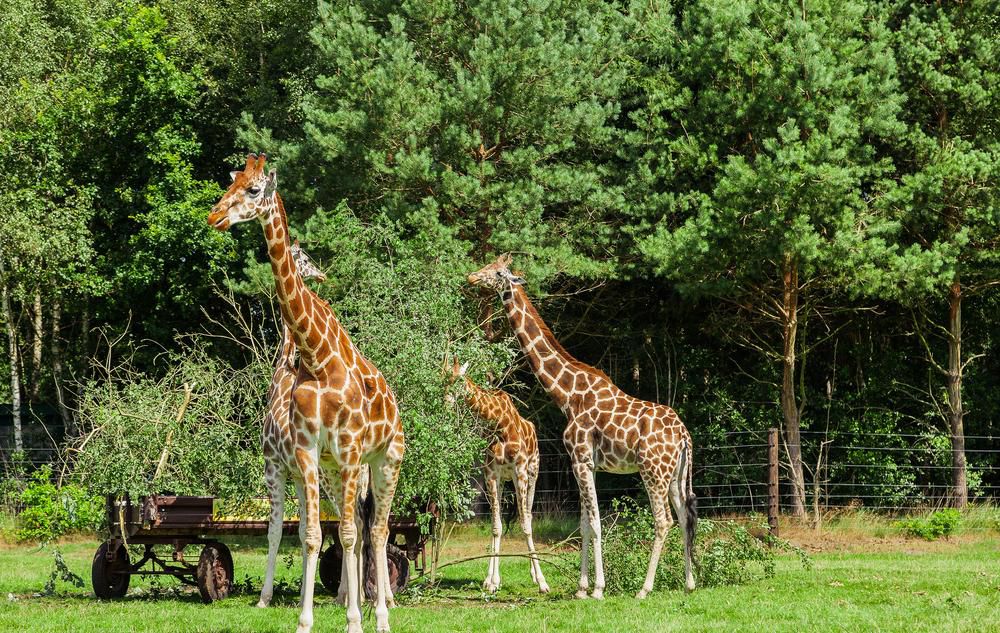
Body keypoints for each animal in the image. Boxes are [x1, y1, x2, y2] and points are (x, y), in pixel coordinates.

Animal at [208, 154, 406, 632]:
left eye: (254, 190)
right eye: (231, 184)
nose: (214, 216)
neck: (316, 356)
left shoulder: (348, 450)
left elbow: (348, 533)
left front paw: (354, 619)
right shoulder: (307, 452)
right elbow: (312, 534)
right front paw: (305, 618)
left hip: (386, 459)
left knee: (377, 530)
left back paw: (380, 614)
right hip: (336, 470)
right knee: (358, 528)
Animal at [446, 358, 552, 596]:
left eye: (459, 380)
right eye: (443, 379)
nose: (446, 401)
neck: (499, 422)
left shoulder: (520, 471)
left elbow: (525, 524)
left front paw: (542, 582)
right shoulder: (491, 474)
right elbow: (496, 526)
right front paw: (491, 581)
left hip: (533, 474)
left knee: (529, 515)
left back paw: (535, 575)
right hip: (505, 481)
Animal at [468, 252, 696, 596]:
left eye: (496, 273)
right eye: (488, 266)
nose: (471, 277)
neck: (567, 395)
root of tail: (683, 434)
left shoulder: (580, 459)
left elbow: (597, 523)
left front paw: (599, 588)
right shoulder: (586, 464)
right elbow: (585, 524)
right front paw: (581, 586)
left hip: (652, 471)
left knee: (663, 520)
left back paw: (645, 588)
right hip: (676, 474)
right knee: (684, 516)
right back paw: (689, 583)